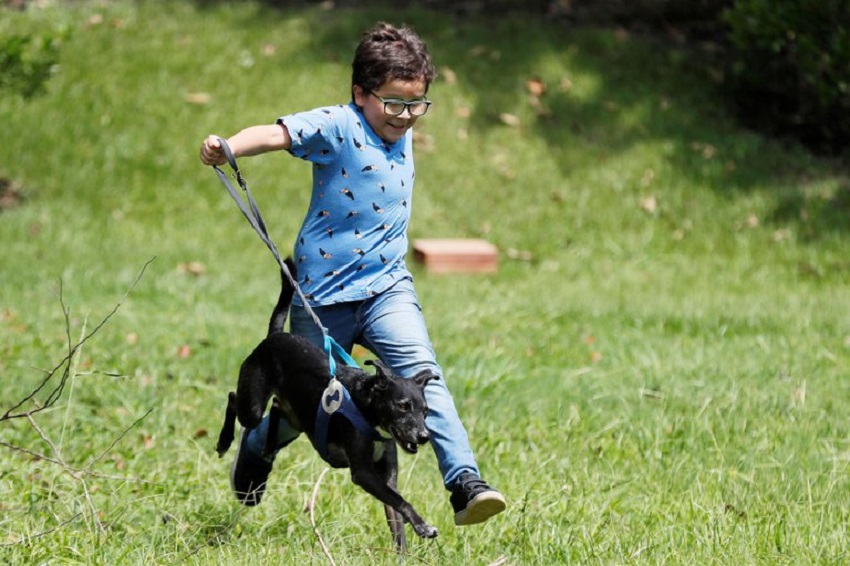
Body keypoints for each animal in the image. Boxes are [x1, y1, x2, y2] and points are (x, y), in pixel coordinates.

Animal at [215, 260, 438, 552]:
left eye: (426, 411)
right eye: (402, 406)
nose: (423, 436)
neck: (368, 412)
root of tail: (275, 336)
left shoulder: (388, 474)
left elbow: (396, 514)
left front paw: (404, 552)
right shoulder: (363, 473)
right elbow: (399, 500)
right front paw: (424, 527)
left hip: (296, 413)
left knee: (276, 407)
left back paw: (268, 445)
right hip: (252, 404)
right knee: (234, 399)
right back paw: (224, 441)